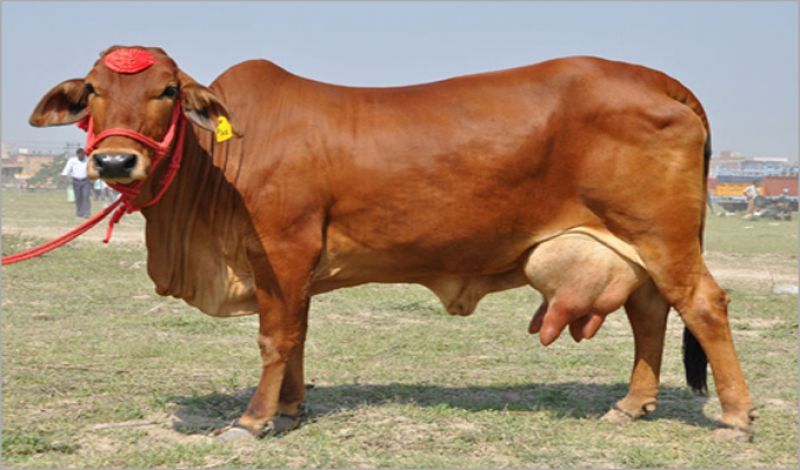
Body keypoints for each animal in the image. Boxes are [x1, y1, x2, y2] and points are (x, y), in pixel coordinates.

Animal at [29, 46, 756, 441]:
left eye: (166, 91)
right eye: (94, 92)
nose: (114, 162)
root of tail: (661, 81)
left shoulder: (283, 250)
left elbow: (274, 338)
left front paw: (253, 420)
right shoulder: (294, 269)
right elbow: (297, 334)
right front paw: (290, 408)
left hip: (662, 237)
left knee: (702, 305)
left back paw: (736, 415)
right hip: (633, 246)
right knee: (649, 313)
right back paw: (631, 405)